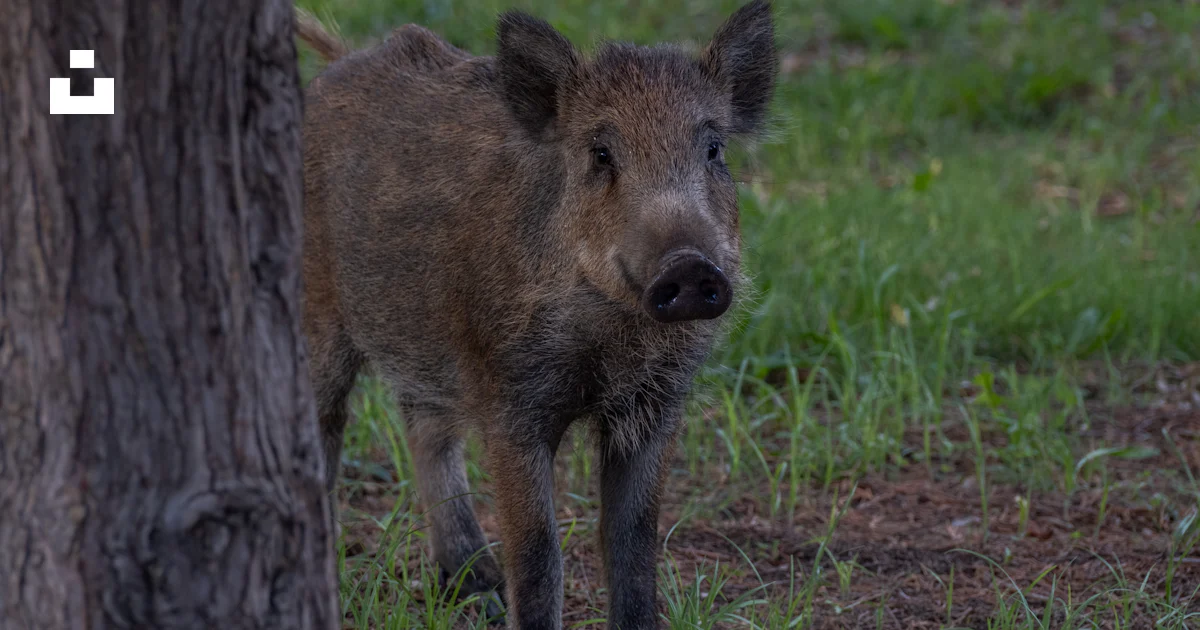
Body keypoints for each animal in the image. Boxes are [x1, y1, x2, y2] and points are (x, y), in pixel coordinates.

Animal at [295, 2, 776, 628]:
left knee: (425, 429)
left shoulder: (657, 404)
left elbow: (634, 541)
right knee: (326, 430)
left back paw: (476, 590)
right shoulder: (512, 403)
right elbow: (538, 551)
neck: (614, 339)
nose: (691, 265)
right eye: (601, 152)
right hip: (319, 319)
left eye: (714, 148)